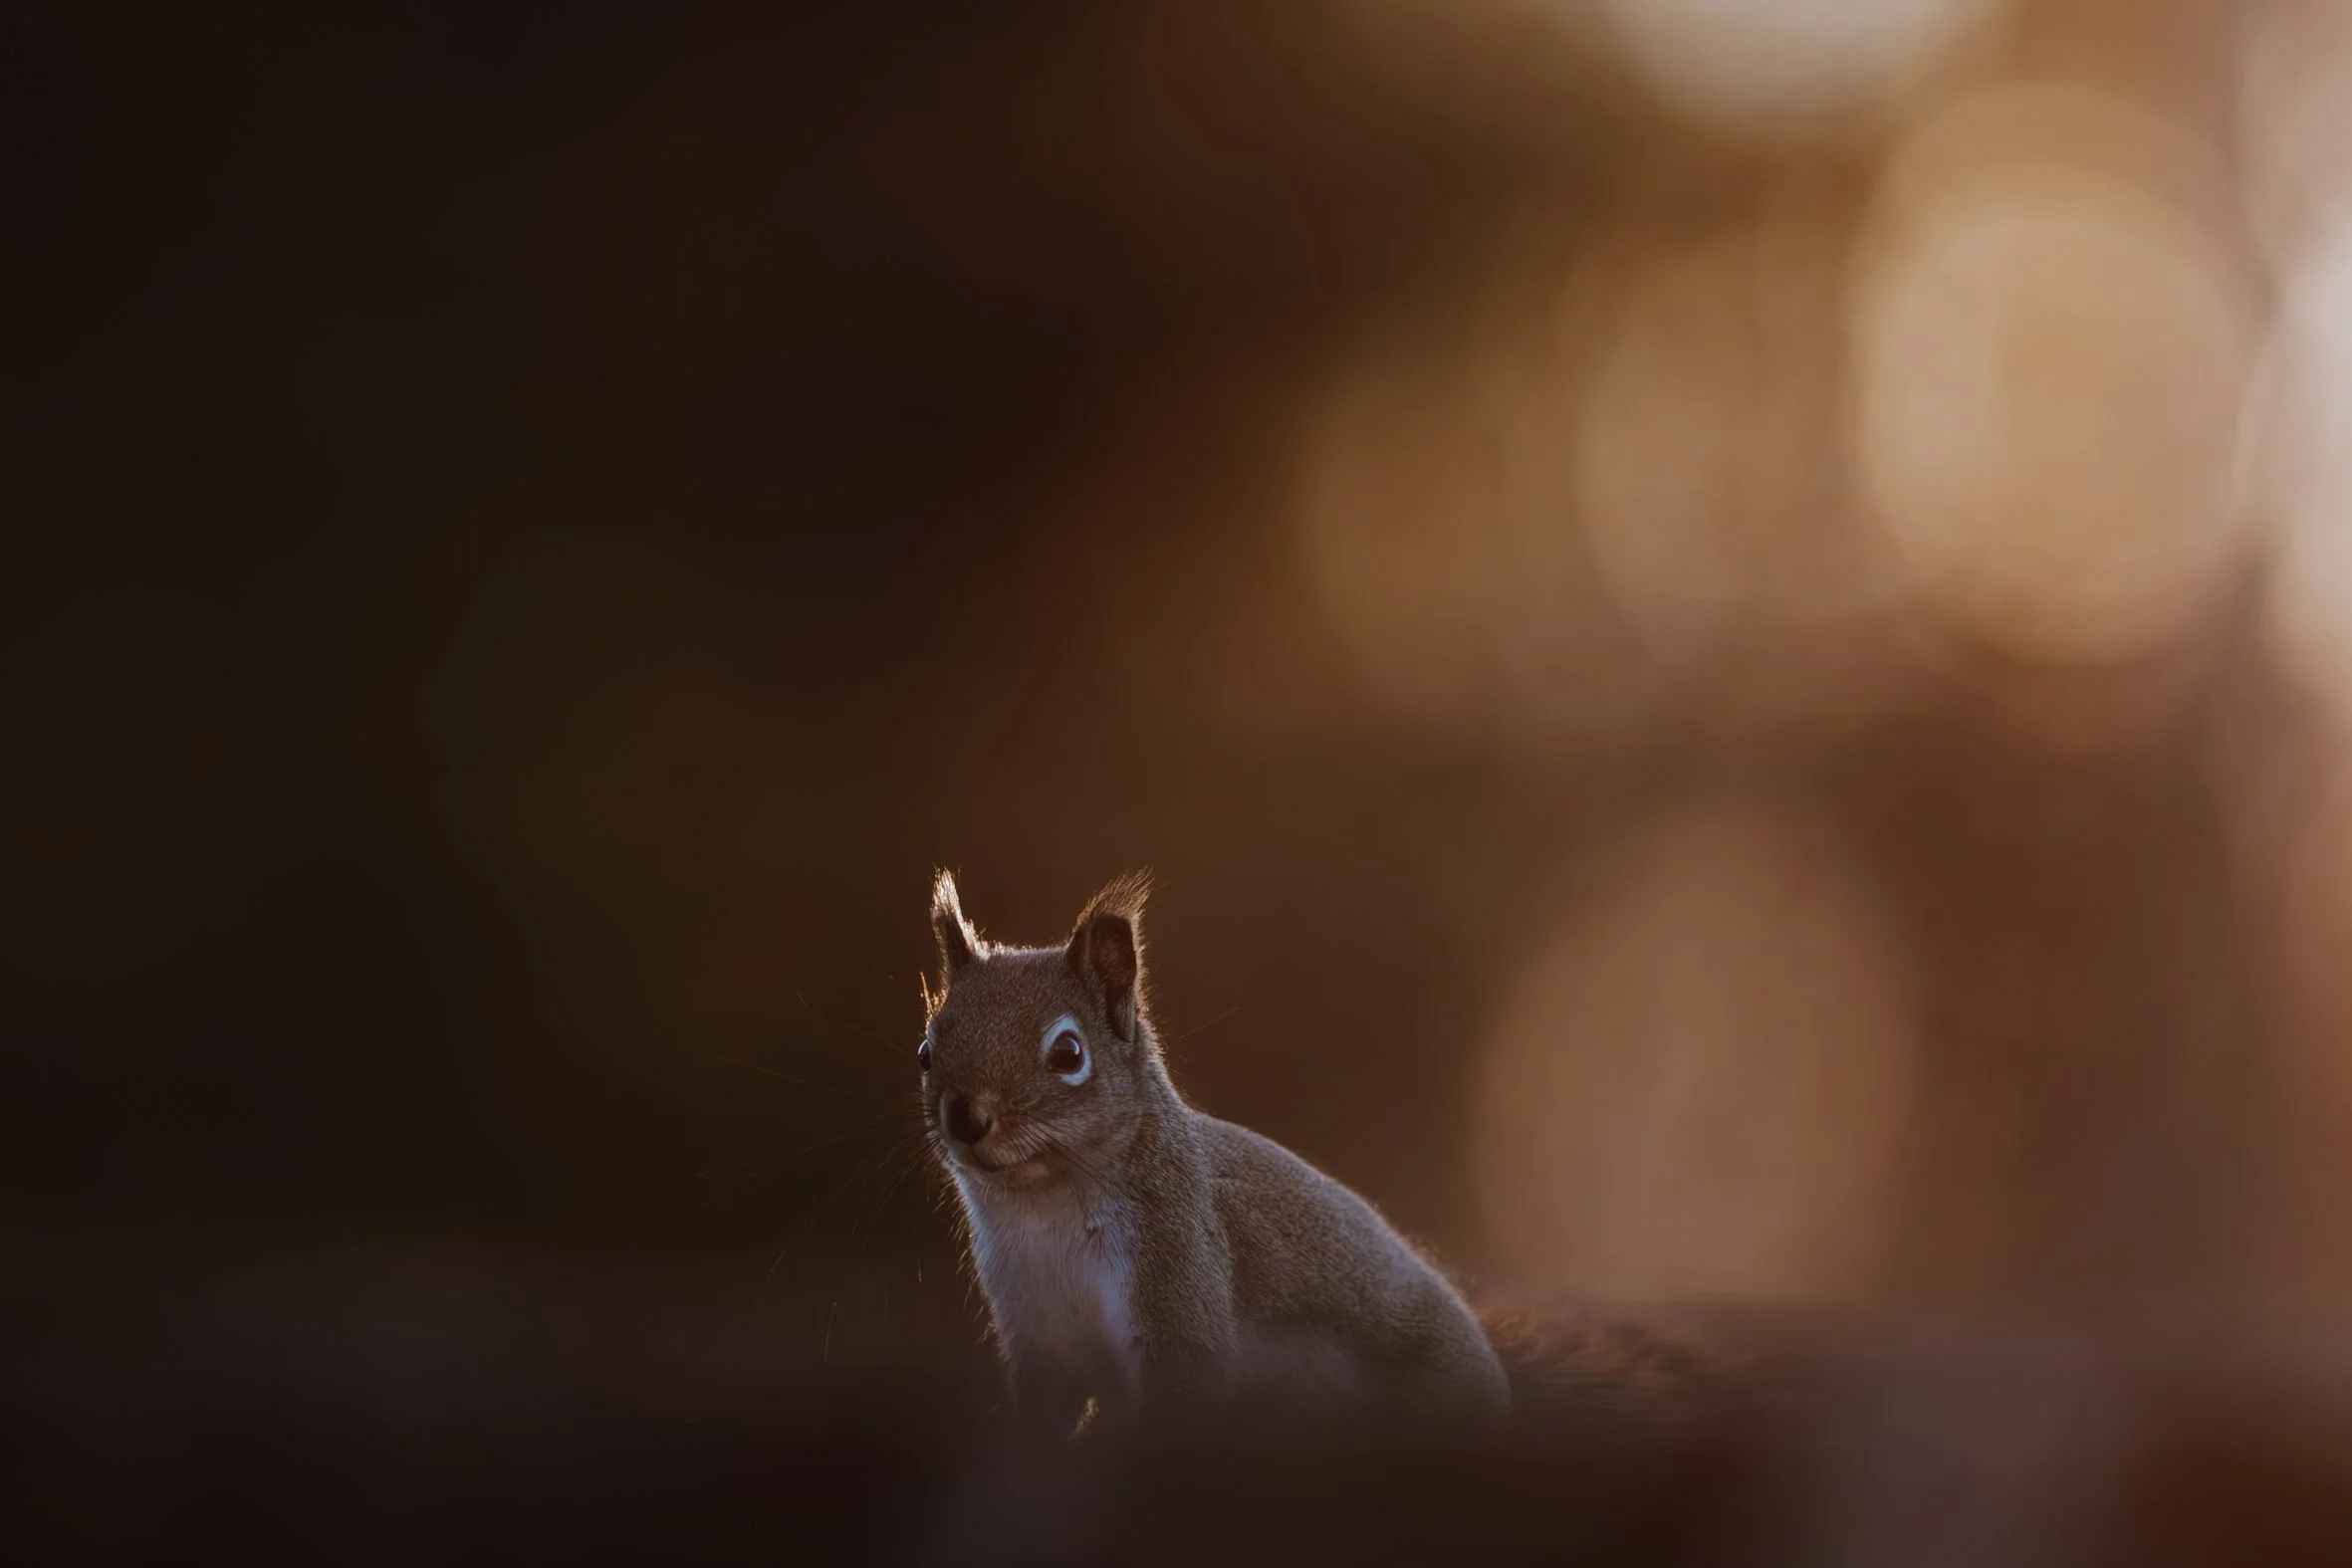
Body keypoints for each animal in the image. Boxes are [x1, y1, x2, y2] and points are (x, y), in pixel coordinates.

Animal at [916, 869, 1510, 1434]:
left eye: (1068, 1053)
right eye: (926, 1049)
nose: (965, 1118)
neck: (1046, 1203)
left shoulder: (1178, 1266)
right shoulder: (1037, 1337)